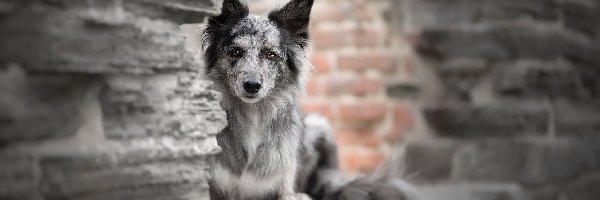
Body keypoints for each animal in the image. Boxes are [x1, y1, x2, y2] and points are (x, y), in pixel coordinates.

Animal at [202, 0, 418, 198]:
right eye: (235, 51)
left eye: (271, 55)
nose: (252, 85)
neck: (252, 117)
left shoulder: (282, 187)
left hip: (318, 127)